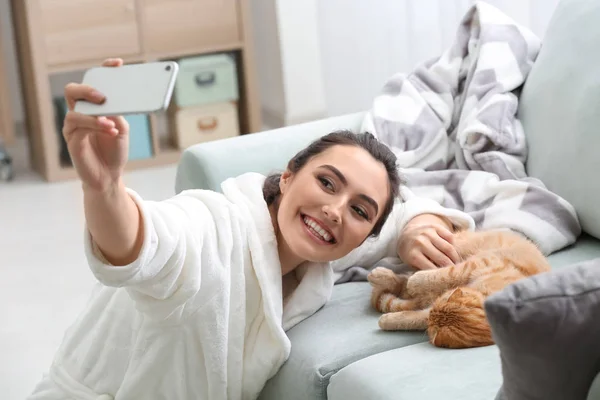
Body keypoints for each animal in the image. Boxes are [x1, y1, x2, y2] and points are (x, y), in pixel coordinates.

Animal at [368, 230, 552, 348]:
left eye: (443, 300)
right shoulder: (478, 264)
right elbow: (446, 274)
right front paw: (417, 280)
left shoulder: (430, 311)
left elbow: (413, 318)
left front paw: (387, 320)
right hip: (456, 247)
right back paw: (382, 274)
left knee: (403, 286)